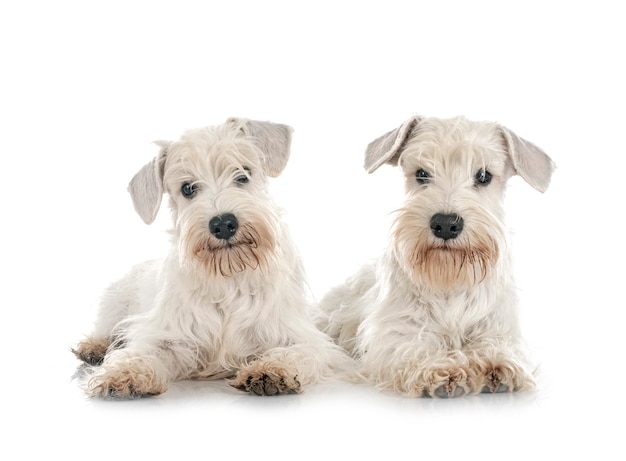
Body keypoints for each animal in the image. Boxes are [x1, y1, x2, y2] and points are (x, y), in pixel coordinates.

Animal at [75, 117, 346, 398]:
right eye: (187, 188)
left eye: (243, 174)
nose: (223, 224)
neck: (230, 276)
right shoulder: (168, 335)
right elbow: (143, 351)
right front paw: (122, 373)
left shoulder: (300, 336)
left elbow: (299, 352)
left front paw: (272, 369)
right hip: (114, 302)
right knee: (106, 328)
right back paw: (95, 347)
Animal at [320, 114, 552, 396]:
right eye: (421, 174)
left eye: (483, 175)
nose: (445, 223)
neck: (449, 276)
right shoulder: (396, 330)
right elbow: (412, 346)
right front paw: (439, 369)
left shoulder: (498, 326)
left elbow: (497, 343)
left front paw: (495, 362)